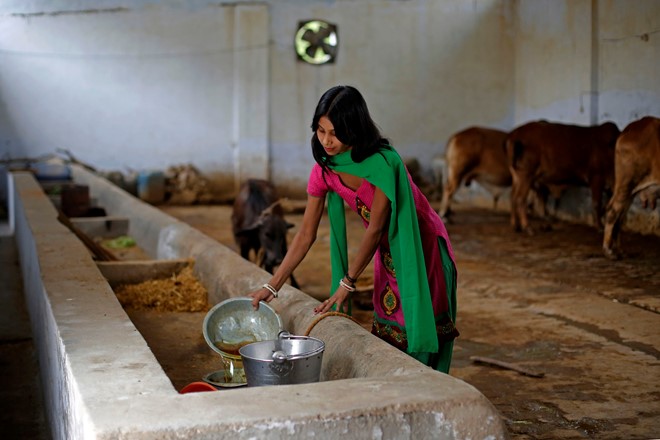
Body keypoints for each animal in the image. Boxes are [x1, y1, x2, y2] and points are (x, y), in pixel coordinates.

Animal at [604, 117, 660, 260]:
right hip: (626, 183)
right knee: (613, 210)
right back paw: (608, 250)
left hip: (630, 190)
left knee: (620, 216)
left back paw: (618, 250)